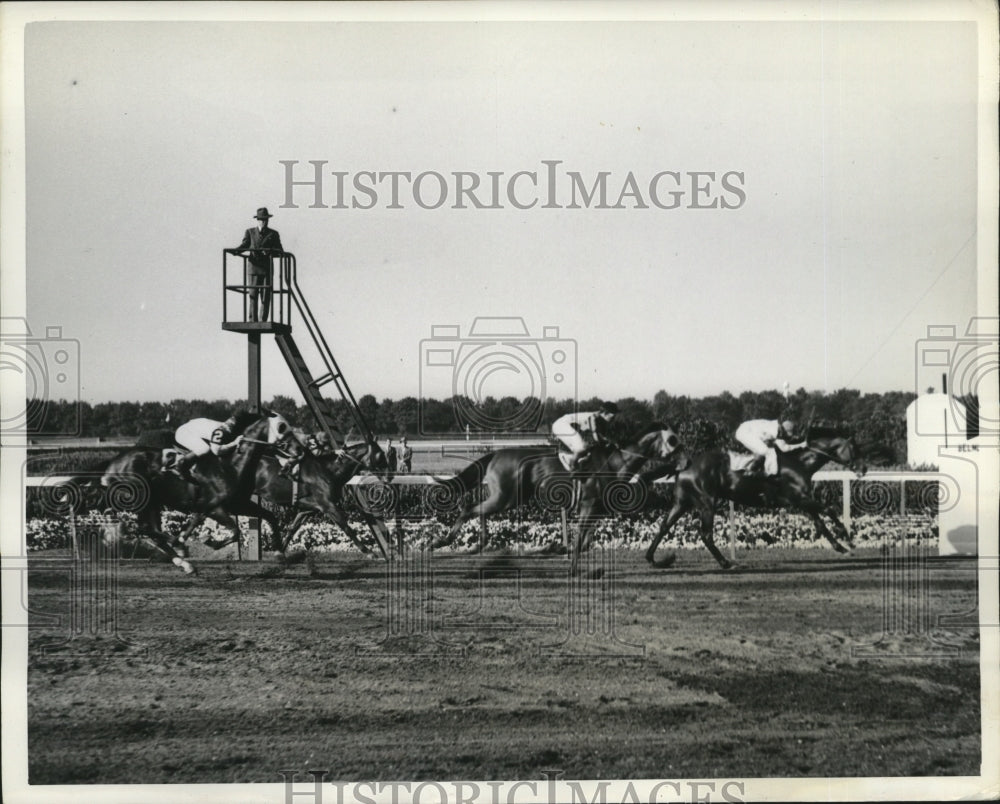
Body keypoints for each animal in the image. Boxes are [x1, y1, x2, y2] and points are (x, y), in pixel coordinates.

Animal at [96, 412, 302, 576]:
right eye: (282, 427)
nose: (299, 449)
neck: (231, 466)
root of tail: (112, 464)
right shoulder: (214, 507)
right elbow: (235, 531)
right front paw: (208, 540)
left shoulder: (239, 504)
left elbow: (270, 516)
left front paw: (280, 554)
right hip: (141, 499)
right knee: (146, 529)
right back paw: (179, 545)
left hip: (153, 502)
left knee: (151, 531)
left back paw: (184, 562)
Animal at [426, 424, 692, 568]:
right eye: (673, 440)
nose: (686, 461)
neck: (616, 463)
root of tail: (496, 453)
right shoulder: (587, 506)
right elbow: (579, 542)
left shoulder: (596, 511)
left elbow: (584, 544)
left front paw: (553, 548)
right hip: (506, 497)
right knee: (469, 509)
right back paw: (441, 541)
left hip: (508, 497)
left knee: (478, 510)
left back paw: (479, 543)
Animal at [648, 424, 868, 568]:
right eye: (854, 448)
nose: (864, 468)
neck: (799, 463)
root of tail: (685, 466)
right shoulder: (800, 499)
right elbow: (829, 510)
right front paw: (848, 539)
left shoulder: (801, 501)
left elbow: (820, 524)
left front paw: (840, 546)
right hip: (707, 502)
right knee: (706, 534)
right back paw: (726, 563)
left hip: (682, 502)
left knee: (664, 526)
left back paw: (654, 560)